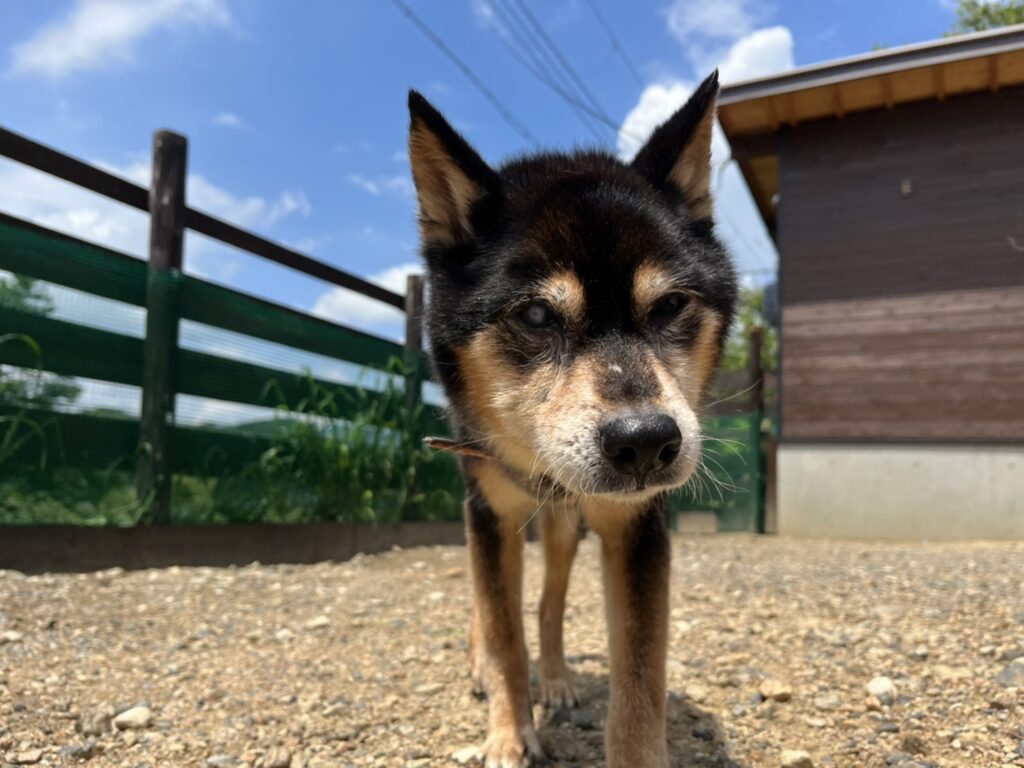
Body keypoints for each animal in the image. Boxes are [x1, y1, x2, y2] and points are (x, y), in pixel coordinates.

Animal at [406, 70, 737, 767]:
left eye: (670, 306)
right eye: (536, 315)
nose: (646, 443)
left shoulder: (635, 526)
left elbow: (638, 674)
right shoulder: (488, 509)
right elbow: (502, 631)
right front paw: (509, 734)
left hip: (562, 527)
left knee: (549, 603)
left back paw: (556, 681)